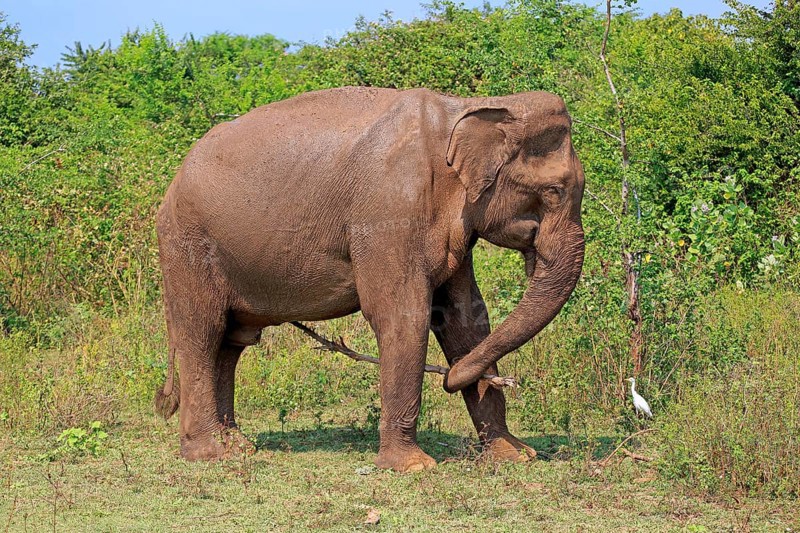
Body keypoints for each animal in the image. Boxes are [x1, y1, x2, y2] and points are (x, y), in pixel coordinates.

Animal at [154, 86, 585, 473]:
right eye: (553, 191)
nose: (449, 379)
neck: (467, 107)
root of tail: (172, 184)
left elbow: (466, 320)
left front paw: (516, 455)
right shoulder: (389, 214)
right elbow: (403, 316)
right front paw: (414, 467)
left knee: (231, 342)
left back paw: (239, 445)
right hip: (188, 247)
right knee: (203, 333)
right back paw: (210, 453)